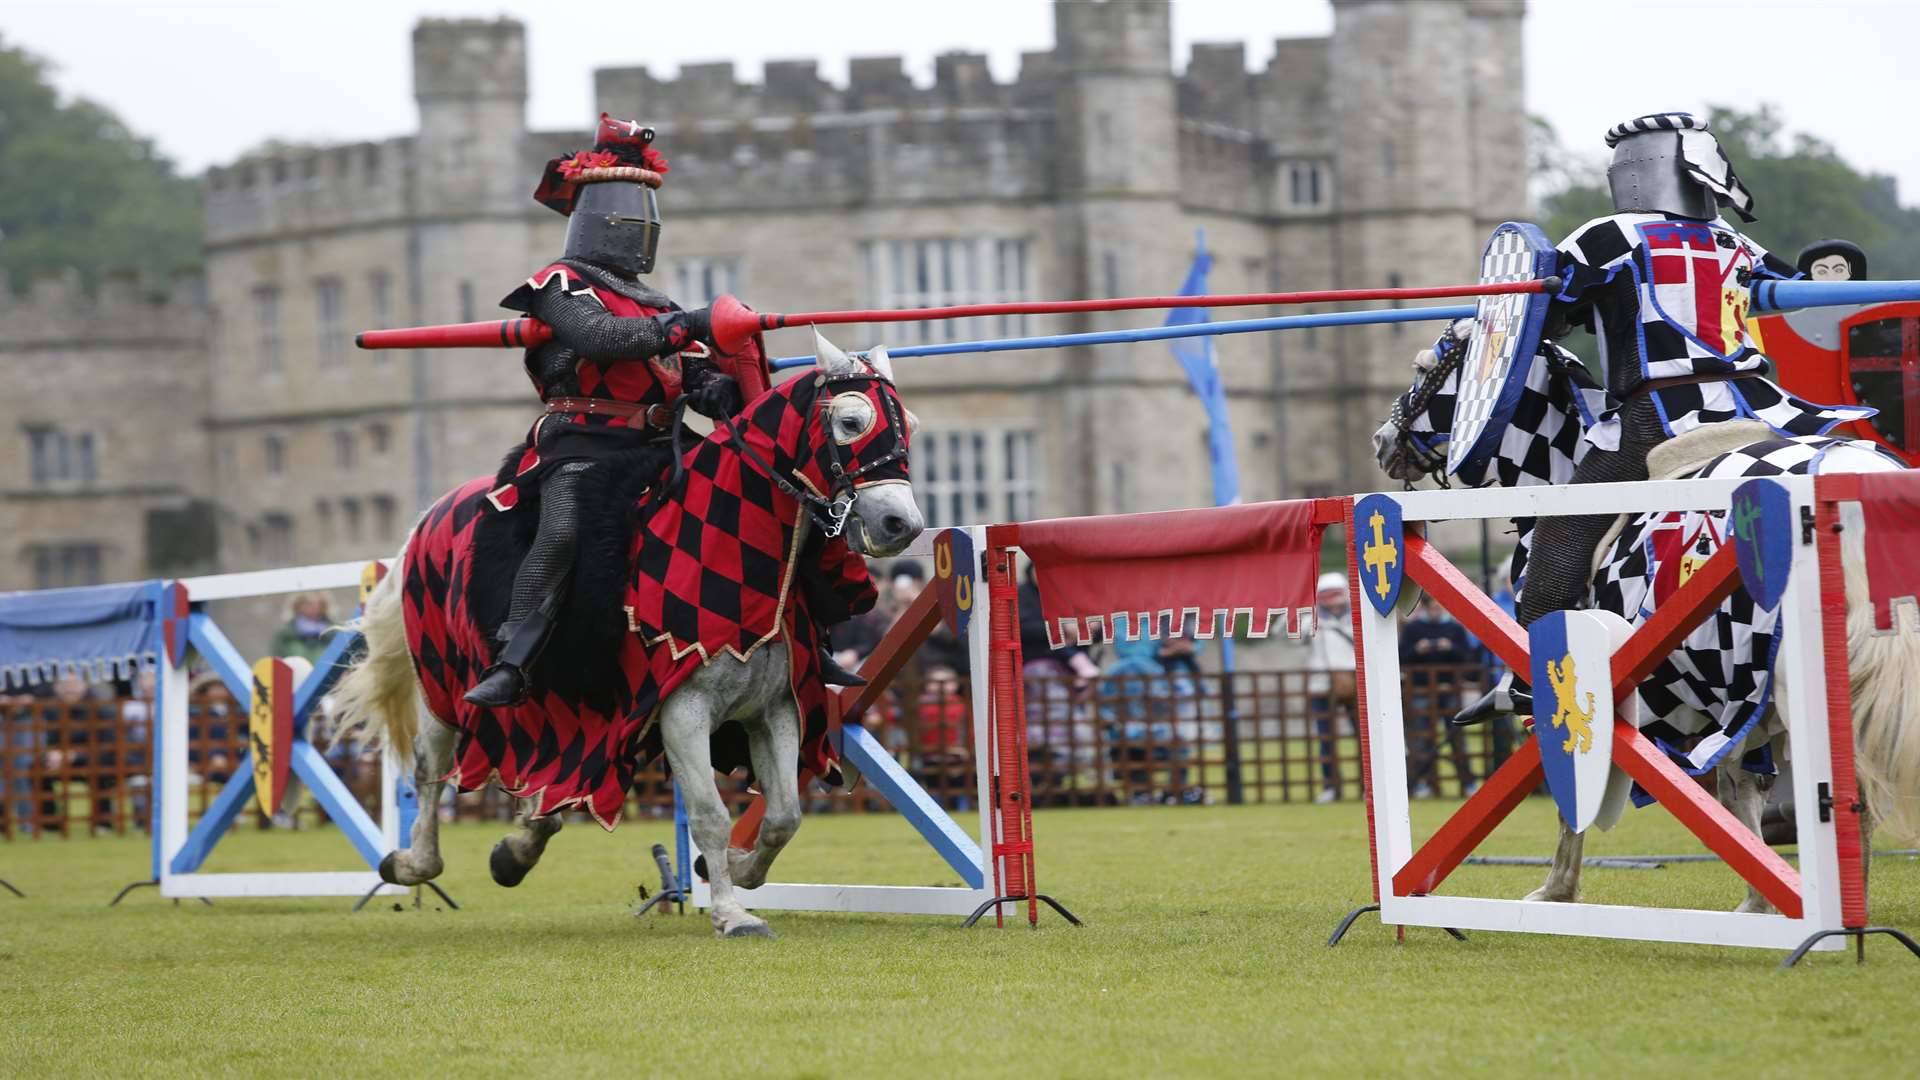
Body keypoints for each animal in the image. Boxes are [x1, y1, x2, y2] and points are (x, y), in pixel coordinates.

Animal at [336, 336, 921, 933]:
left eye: (911, 426)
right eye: (850, 421)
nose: (902, 526)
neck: (731, 548)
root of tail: (429, 516)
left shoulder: (774, 708)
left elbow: (785, 815)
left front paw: (737, 870)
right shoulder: (683, 711)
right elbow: (710, 814)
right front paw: (730, 912)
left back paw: (519, 846)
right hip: (442, 685)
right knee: (431, 767)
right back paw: (413, 862)